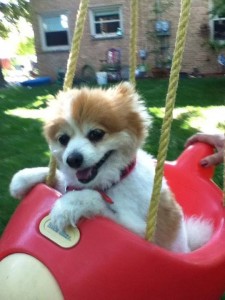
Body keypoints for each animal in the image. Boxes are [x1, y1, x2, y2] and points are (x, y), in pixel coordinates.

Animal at [9, 81, 213, 251]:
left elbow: (95, 198)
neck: (112, 181)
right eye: (63, 139)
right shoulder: (73, 183)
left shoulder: (139, 231)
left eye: (96, 134)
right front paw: (22, 179)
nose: (73, 159)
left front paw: (66, 206)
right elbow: (61, 180)